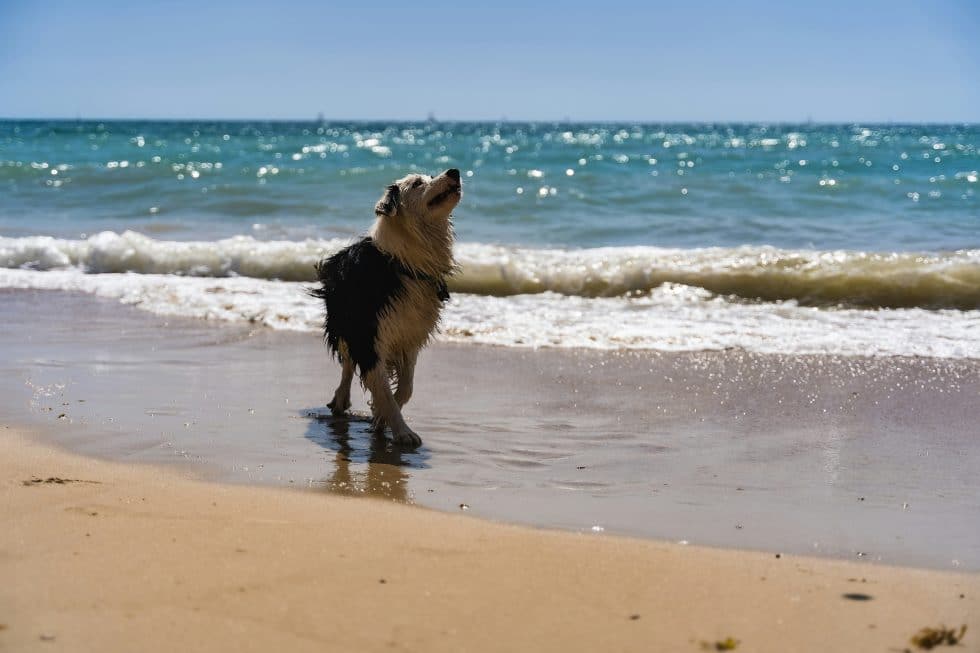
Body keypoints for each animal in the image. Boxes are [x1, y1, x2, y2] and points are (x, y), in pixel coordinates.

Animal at [312, 167, 462, 448]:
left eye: (430, 176)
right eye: (416, 183)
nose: (454, 171)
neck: (405, 261)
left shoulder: (409, 334)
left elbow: (404, 388)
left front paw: (380, 417)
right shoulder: (368, 335)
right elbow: (382, 387)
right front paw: (403, 432)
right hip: (344, 324)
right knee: (347, 365)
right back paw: (340, 399)